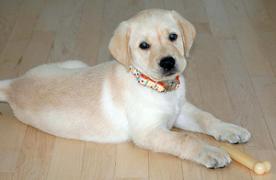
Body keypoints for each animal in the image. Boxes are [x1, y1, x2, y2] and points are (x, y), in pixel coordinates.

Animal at [0, 9, 250, 168]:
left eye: (173, 36)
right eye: (144, 45)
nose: (168, 62)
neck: (157, 86)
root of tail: (14, 83)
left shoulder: (181, 111)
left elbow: (206, 117)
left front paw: (230, 129)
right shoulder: (148, 132)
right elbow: (185, 139)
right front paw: (211, 152)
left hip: (76, 63)